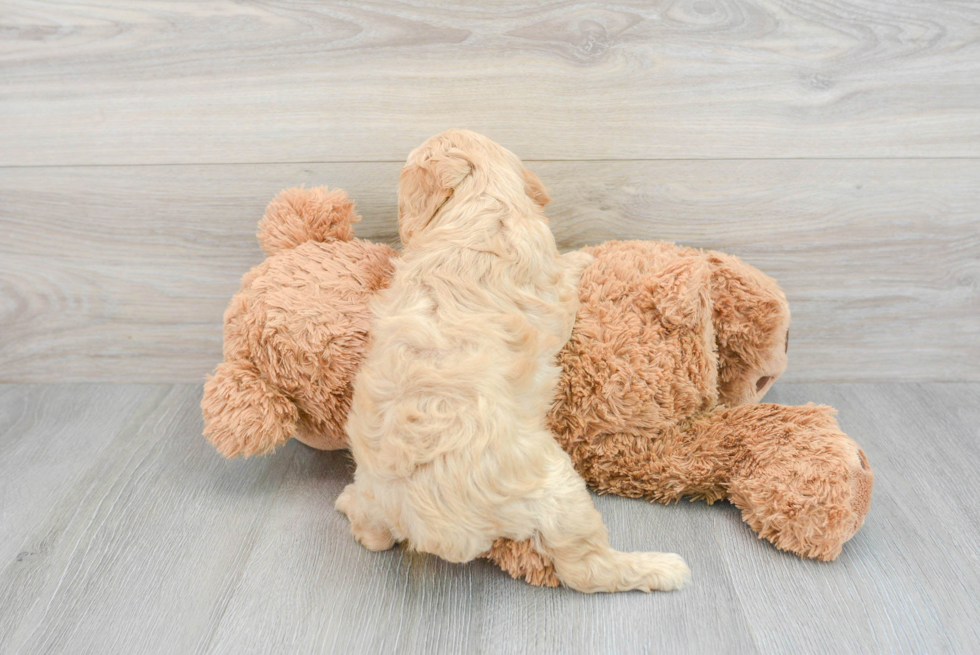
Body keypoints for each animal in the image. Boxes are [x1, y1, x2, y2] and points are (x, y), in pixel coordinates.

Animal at [336, 131, 688, 592]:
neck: (483, 198)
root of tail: (428, 524)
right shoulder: (554, 285)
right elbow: (566, 271)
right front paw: (584, 257)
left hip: (375, 494)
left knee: (373, 534)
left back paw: (348, 506)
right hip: (558, 490)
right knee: (585, 569)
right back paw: (662, 568)